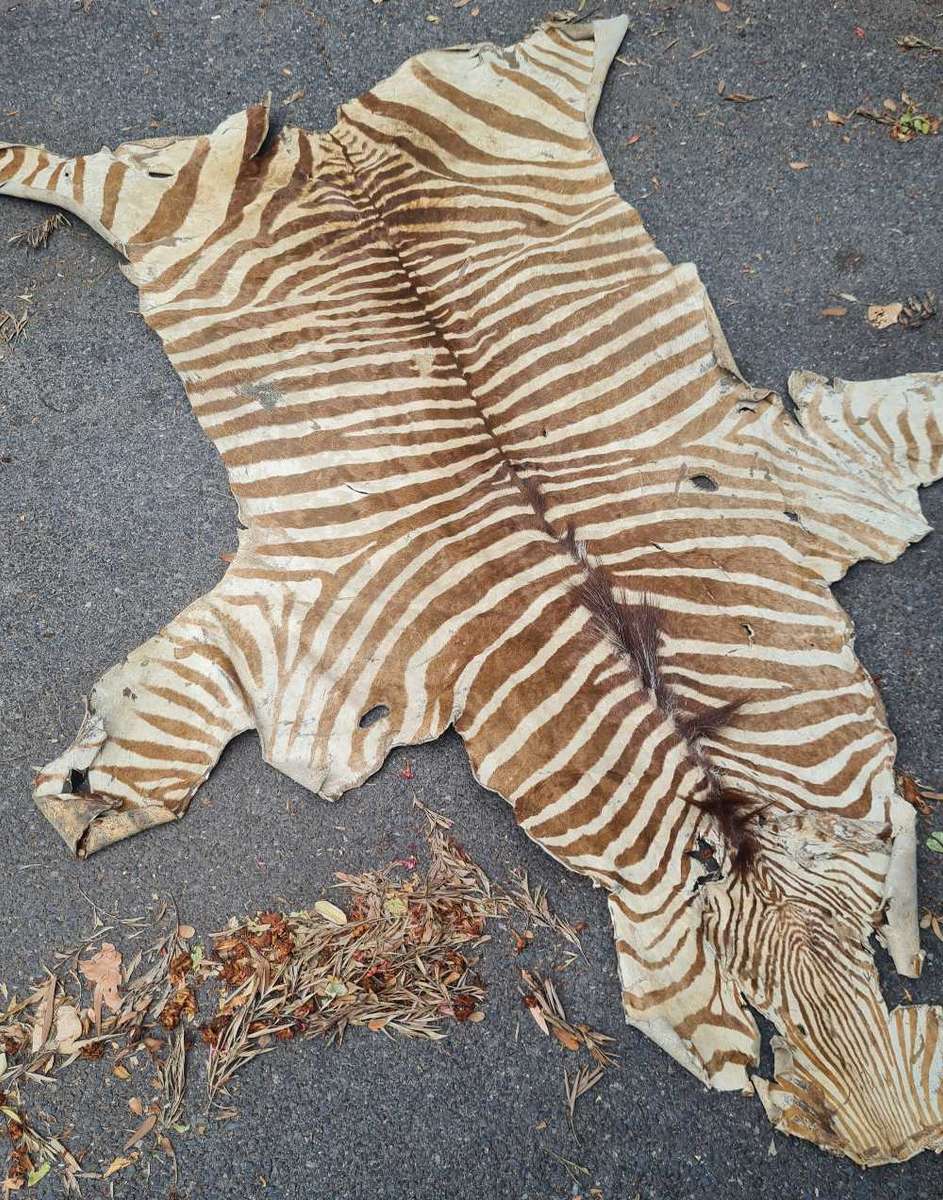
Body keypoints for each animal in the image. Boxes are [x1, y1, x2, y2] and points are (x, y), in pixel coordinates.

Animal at [2, 16, 941, 1165]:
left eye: (869, 940)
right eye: (760, 1012)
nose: (900, 1142)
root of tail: (332, 144)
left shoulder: (821, 480)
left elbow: (912, 417)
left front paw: (87, 788)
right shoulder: (295, 616)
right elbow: (154, 731)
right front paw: (80, 801)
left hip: (521, 111)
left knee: (552, 44)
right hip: (153, 200)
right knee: (59, 169)